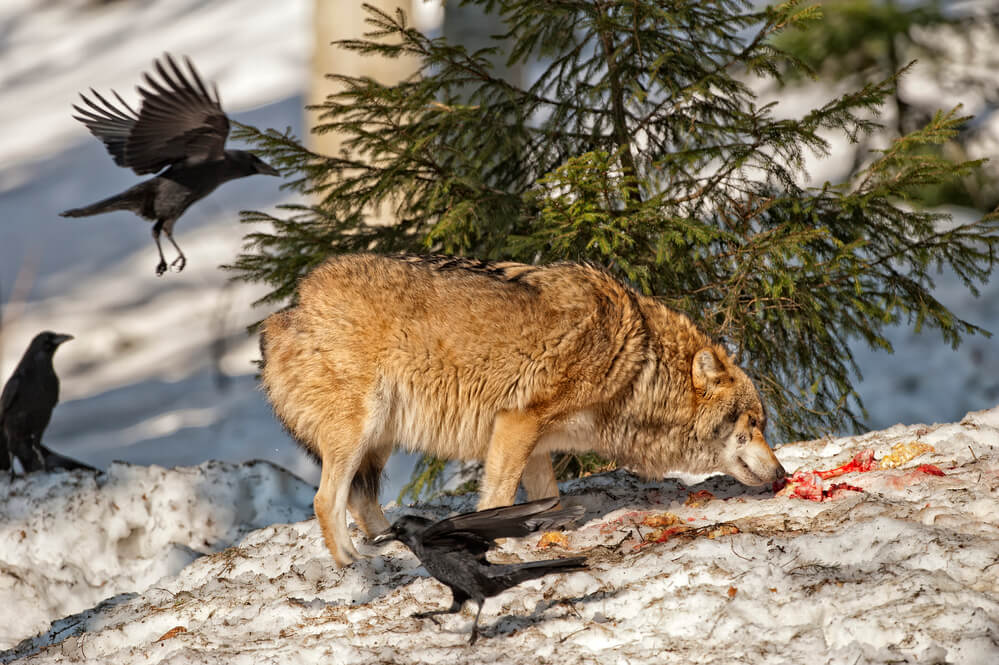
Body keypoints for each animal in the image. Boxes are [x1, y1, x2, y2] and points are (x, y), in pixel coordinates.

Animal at [260, 253, 788, 564]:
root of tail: (287, 313)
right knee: (326, 500)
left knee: (361, 500)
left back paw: (394, 546)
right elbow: (495, 497)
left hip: (379, 440)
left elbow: (547, 497)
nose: (783, 474)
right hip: (359, 431)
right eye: (753, 424)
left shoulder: (534, 441)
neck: (640, 363)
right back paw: (357, 564)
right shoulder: (517, 424)